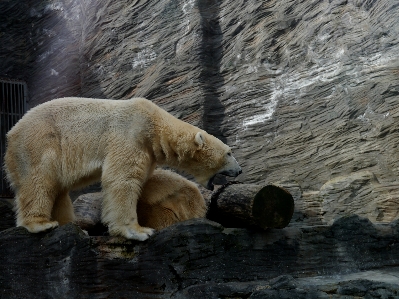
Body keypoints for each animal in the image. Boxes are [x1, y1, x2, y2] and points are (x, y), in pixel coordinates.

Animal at [3, 98, 241, 241]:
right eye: (229, 153)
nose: (239, 170)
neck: (154, 124)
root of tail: (11, 132)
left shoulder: (148, 149)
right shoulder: (130, 134)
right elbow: (123, 179)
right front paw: (138, 230)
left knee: (58, 189)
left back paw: (72, 226)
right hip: (40, 142)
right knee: (39, 179)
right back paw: (41, 224)